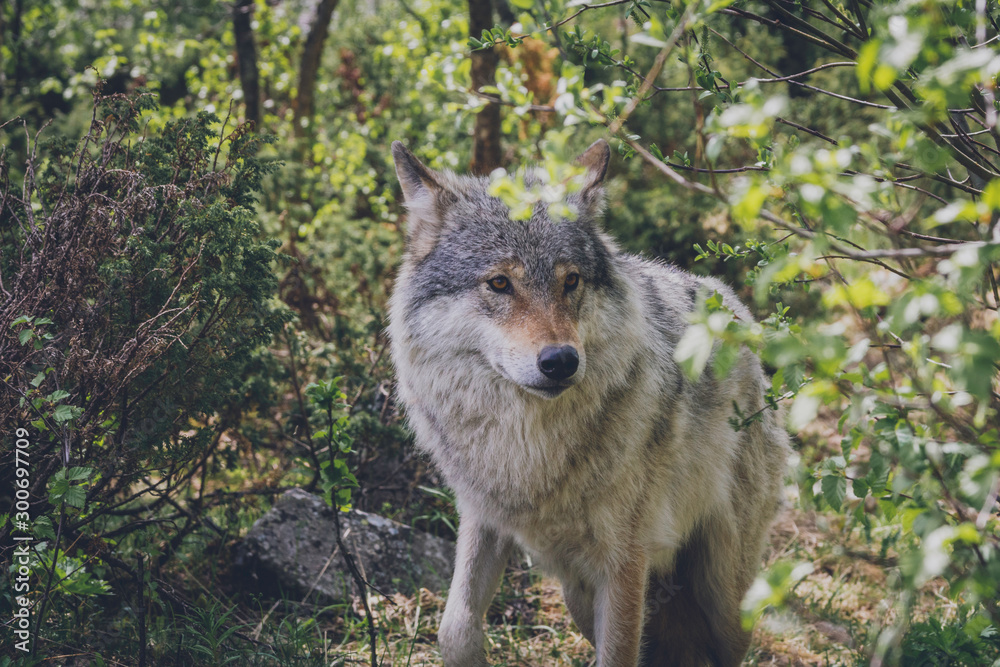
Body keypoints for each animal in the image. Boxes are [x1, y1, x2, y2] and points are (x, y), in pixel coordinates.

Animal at [388, 138, 788, 664]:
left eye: (571, 280)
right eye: (499, 283)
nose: (560, 361)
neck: (527, 448)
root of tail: (738, 311)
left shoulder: (623, 563)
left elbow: (616, 655)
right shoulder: (485, 517)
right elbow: (454, 631)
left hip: (724, 602)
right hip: (577, 593)